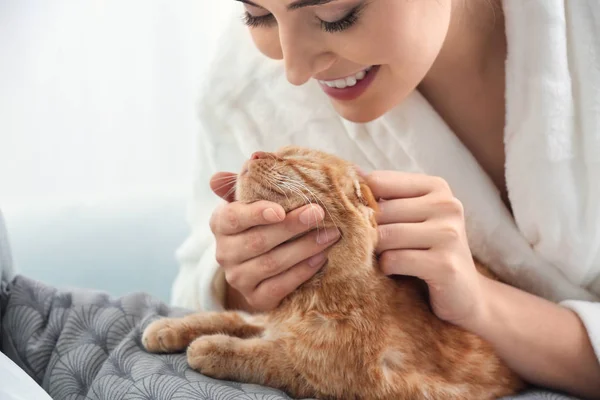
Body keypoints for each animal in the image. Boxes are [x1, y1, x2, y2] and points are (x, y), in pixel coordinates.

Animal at [143, 145, 524, 398]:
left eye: (299, 160)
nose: (255, 153)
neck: (304, 299)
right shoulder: (265, 318)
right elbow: (230, 317)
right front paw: (168, 328)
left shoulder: (330, 376)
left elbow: (263, 355)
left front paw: (210, 348)